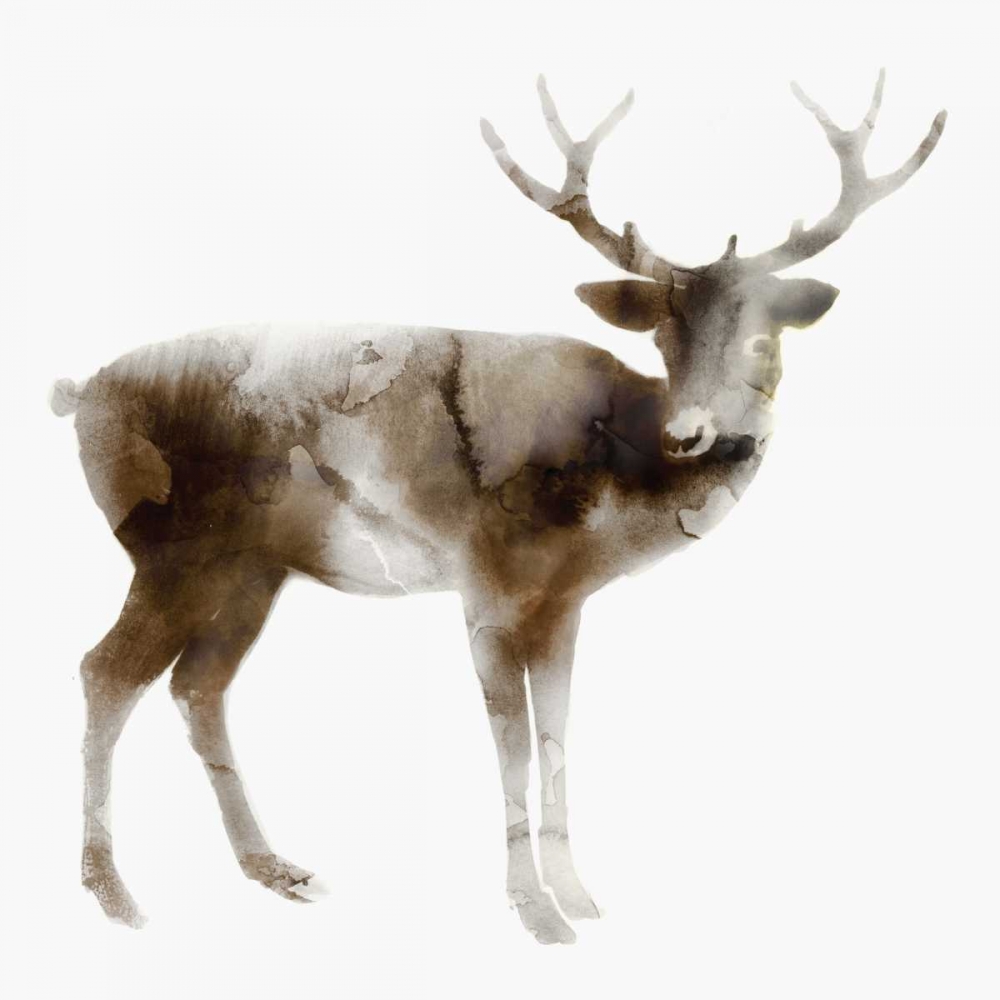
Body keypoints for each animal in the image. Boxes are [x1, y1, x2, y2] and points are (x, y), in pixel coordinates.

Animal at [51, 72, 945, 944]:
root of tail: (80, 394)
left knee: (198, 686)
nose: (691, 433)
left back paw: (274, 868)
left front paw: (579, 896)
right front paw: (535, 912)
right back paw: (113, 893)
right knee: (106, 671)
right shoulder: (486, 585)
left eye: (765, 338)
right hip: (171, 550)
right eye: (663, 336)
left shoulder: (564, 604)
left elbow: (556, 736)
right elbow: (511, 745)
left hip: (251, 570)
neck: (610, 495)